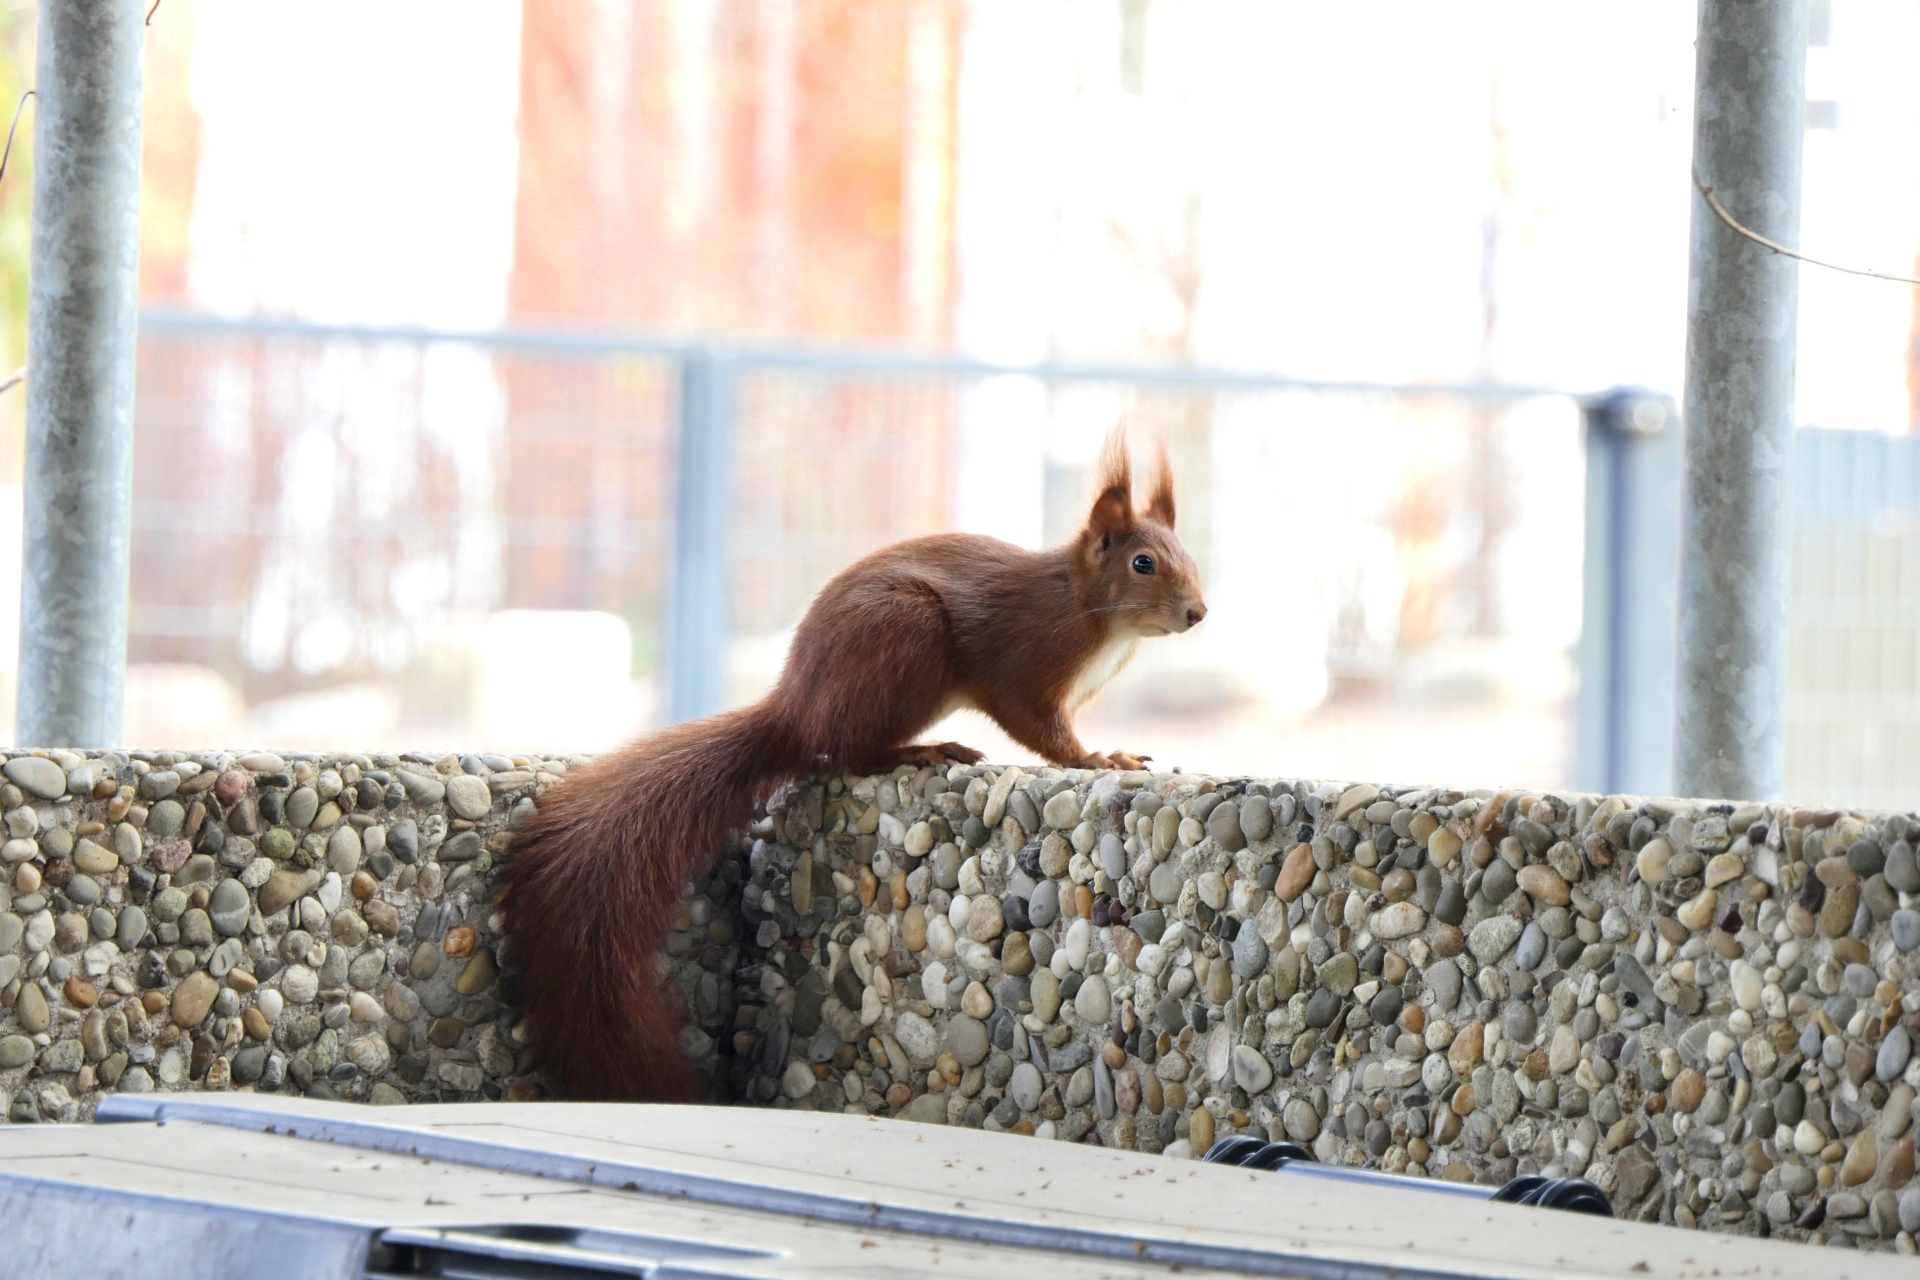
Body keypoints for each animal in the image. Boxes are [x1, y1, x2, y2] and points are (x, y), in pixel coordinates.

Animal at [505, 430, 1207, 1101]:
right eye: (1142, 563)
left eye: (1191, 557)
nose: (1198, 614)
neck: (1091, 610)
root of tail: (794, 712)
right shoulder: (1022, 665)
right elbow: (1040, 728)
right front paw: (1096, 756)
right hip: (906, 633)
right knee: (848, 751)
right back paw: (923, 749)